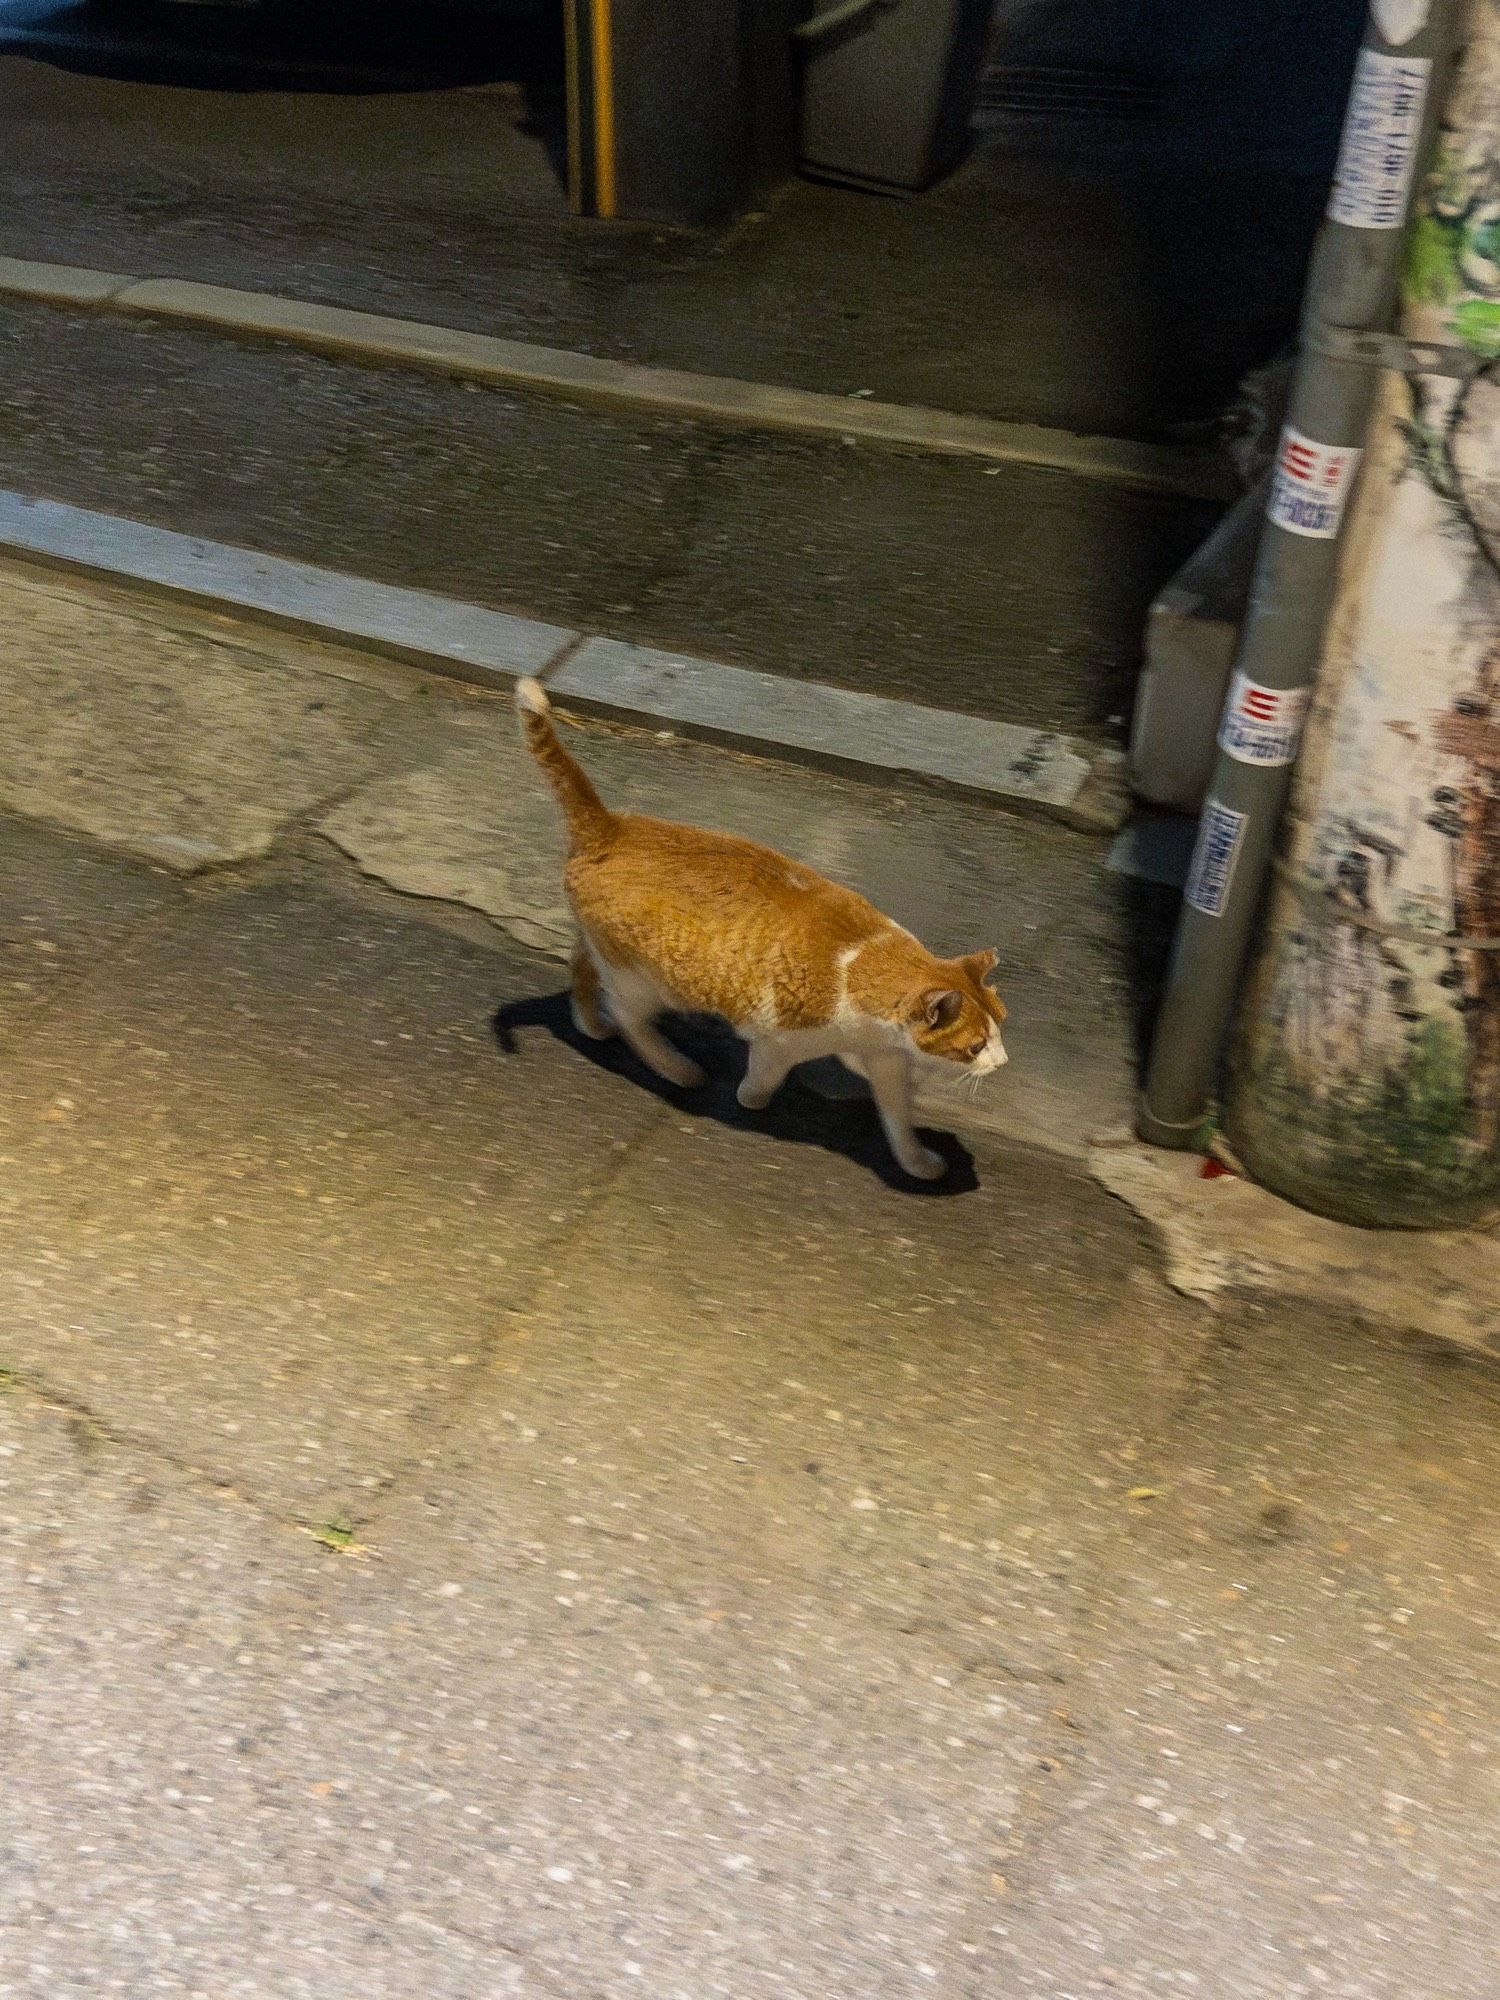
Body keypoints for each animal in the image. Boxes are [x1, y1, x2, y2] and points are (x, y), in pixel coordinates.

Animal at [516, 680, 1012, 1176]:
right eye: (975, 1046)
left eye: (1001, 1027)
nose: (1003, 1061)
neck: (865, 966)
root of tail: (612, 827)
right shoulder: (779, 1041)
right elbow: (763, 1077)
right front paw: (751, 1099)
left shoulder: (886, 1059)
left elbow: (897, 1119)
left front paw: (916, 1162)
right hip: (644, 981)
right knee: (627, 1014)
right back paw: (676, 1067)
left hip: (609, 952)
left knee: (581, 962)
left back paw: (589, 1024)